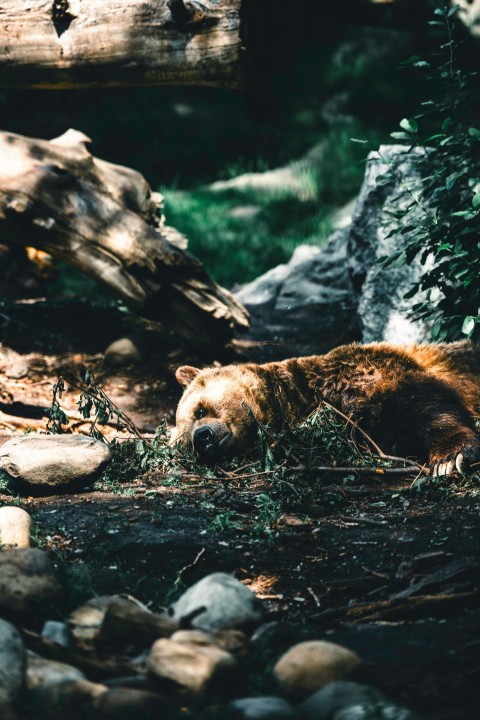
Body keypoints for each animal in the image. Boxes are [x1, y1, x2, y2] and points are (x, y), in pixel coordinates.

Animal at [174, 340, 480, 476]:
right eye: (183, 443)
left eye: (199, 410)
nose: (201, 438)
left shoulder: (372, 373)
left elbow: (424, 404)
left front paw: (450, 458)